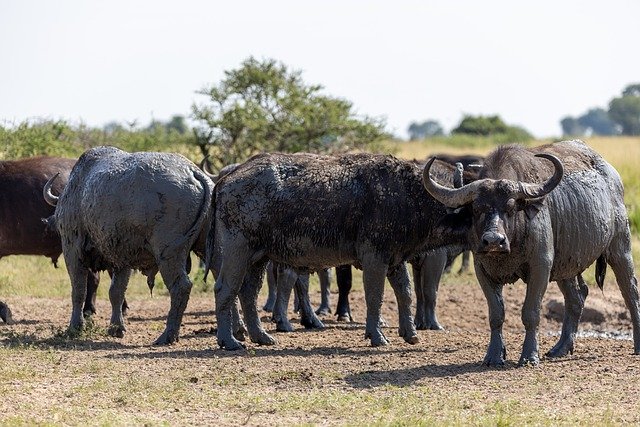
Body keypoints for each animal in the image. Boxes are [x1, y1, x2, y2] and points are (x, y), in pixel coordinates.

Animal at [45, 147, 215, 344]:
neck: (78, 189)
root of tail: (193, 171)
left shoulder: (72, 251)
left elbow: (78, 290)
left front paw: (75, 327)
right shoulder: (123, 259)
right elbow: (116, 292)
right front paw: (116, 328)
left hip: (169, 254)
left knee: (181, 286)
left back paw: (167, 335)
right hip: (211, 247)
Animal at [424, 141, 640, 368]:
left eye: (510, 208)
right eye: (476, 208)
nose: (494, 240)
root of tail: (613, 176)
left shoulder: (540, 266)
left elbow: (531, 313)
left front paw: (529, 355)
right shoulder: (482, 270)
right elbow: (496, 314)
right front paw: (494, 355)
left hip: (620, 248)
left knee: (630, 291)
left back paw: (637, 345)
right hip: (566, 265)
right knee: (576, 297)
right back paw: (560, 348)